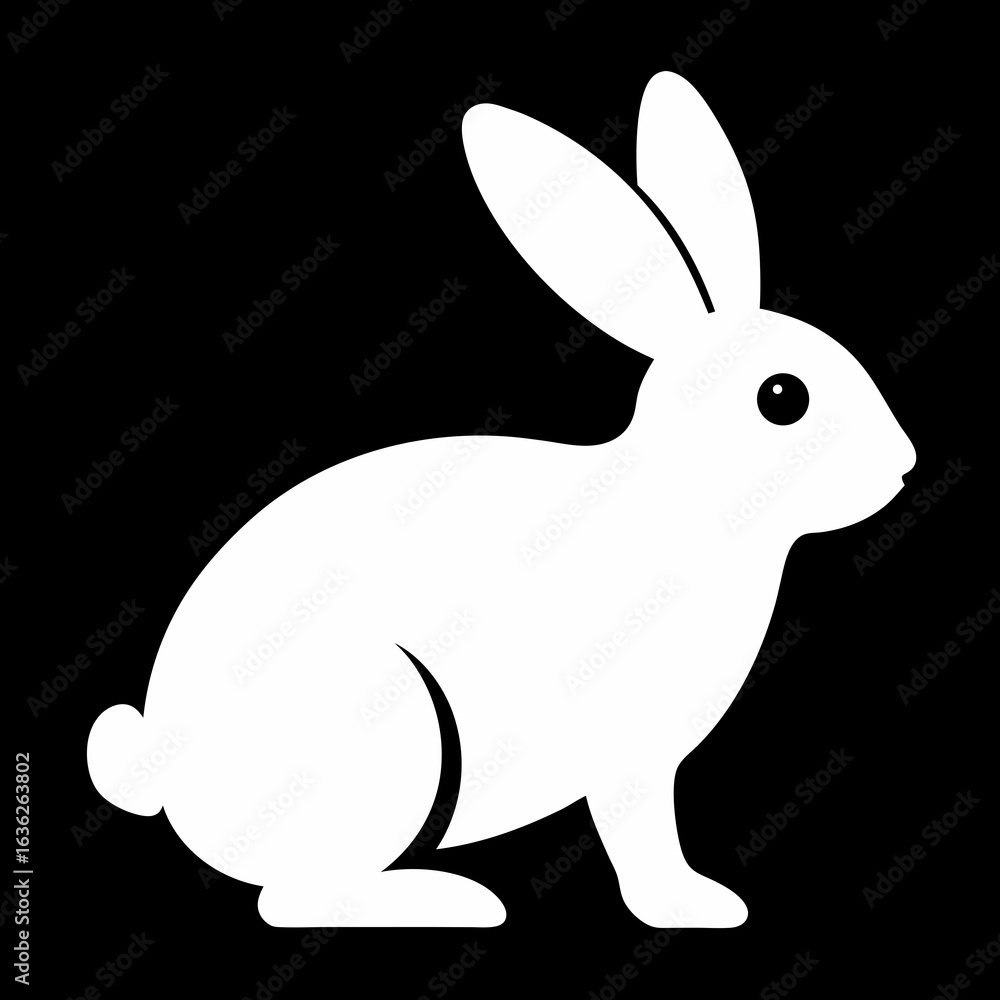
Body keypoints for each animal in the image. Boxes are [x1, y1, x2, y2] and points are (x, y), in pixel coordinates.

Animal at [87, 71, 916, 929]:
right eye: (783, 397)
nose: (904, 465)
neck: (684, 492)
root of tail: (160, 764)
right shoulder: (630, 757)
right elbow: (640, 836)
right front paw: (692, 906)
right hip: (388, 737)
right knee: (295, 898)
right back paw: (454, 900)